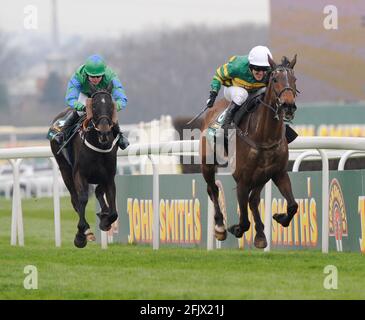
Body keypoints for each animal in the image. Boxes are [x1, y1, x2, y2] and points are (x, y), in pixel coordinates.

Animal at [50, 84, 118, 248]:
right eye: (93, 105)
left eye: (111, 105)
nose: (104, 132)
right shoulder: (79, 174)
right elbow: (82, 200)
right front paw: (80, 236)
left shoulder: (109, 176)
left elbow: (113, 211)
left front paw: (105, 221)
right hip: (65, 170)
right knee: (75, 200)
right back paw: (87, 231)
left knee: (98, 192)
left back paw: (103, 213)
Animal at [200, 55, 298, 249]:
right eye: (275, 79)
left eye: (294, 79)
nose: (288, 105)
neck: (264, 136)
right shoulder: (242, 180)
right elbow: (244, 221)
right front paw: (235, 228)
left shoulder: (278, 173)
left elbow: (292, 206)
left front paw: (280, 217)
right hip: (207, 164)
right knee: (213, 189)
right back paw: (220, 227)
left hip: (261, 176)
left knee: (253, 200)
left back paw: (260, 234)